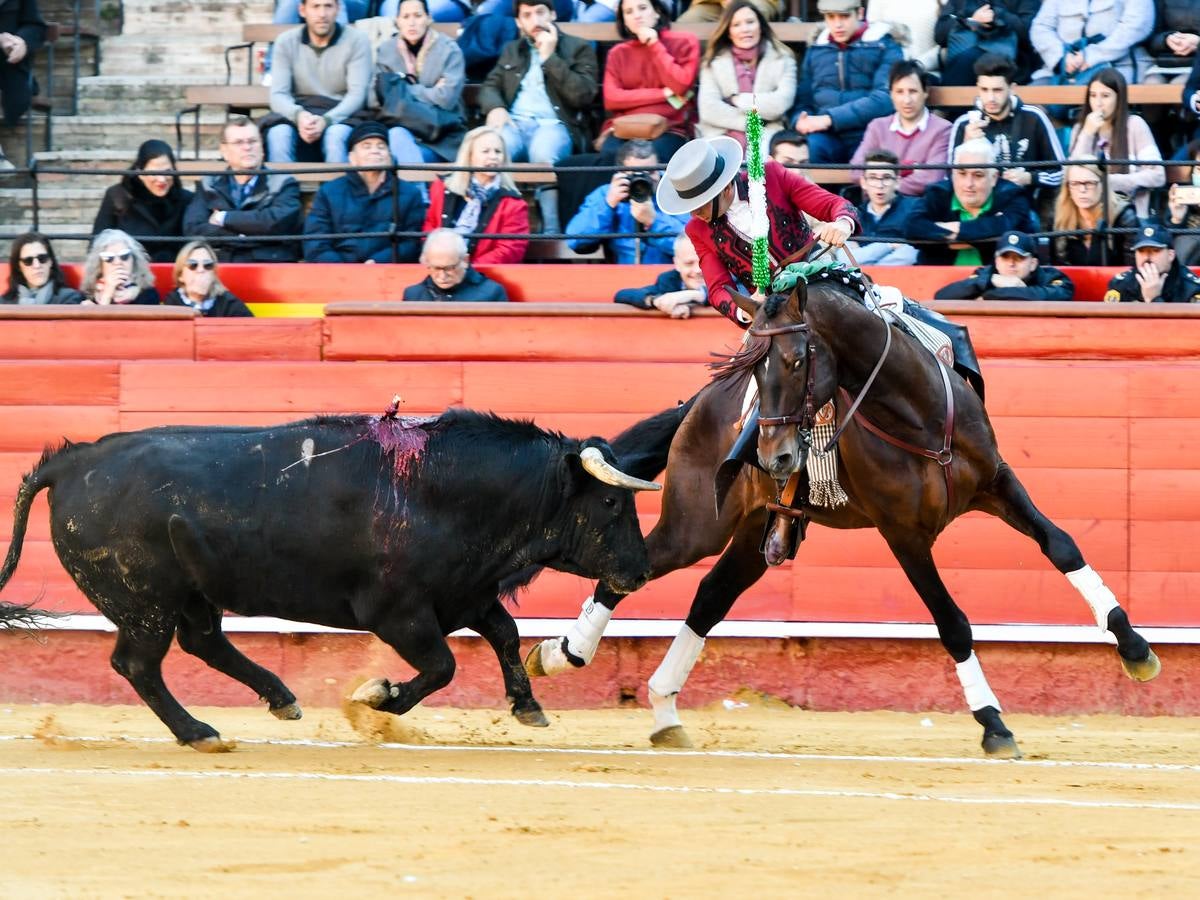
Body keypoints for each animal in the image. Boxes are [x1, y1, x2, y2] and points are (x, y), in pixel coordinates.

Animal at [0, 405, 657, 748]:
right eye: (610, 503)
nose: (642, 570)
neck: (442, 489)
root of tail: (72, 461)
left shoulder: (464, 595)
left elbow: (506, 635)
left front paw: (527, 705)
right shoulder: (399, 615)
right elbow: (443, 666)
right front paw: (379, 699)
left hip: (191, 593)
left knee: (203, 643)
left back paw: (281, 700)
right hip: (145, 602)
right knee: (139, 663)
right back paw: (198, 731)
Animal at [528, 271, 1161, 758]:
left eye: (795, 359)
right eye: (754, 368)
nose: (776, 457)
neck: (917, 415)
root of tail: (698, 405)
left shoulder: (997, 481)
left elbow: (1061, 545)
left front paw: (1135, 649)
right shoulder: (903, 533)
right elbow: (950, 620)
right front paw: (993, 723)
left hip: (753, 532)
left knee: (710, 595)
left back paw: (663, 711)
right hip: (696, 524)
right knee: (631, 571)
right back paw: (561, 655)